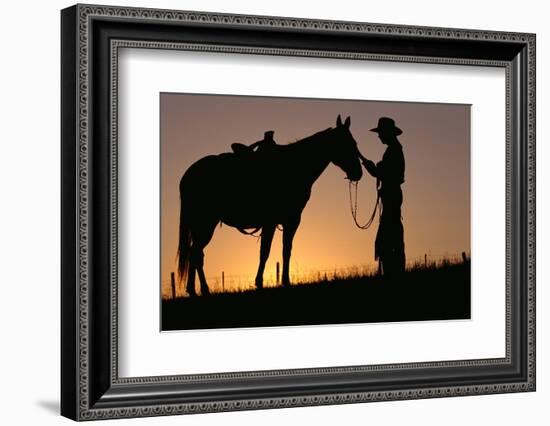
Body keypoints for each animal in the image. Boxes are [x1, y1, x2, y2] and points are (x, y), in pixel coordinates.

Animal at [179, 116, 364, 296]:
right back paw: (203, 290)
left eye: (354, 143)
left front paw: (285, 281)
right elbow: (265, 252)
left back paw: (193, 289)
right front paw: (260, 282)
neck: (295, 168)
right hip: (205, 224)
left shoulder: (291, 221)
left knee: (195, 254)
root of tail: (188, 175)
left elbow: (286, 250)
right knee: (196, 254)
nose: (358, 173)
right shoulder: (273, 222)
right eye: (345, 144)